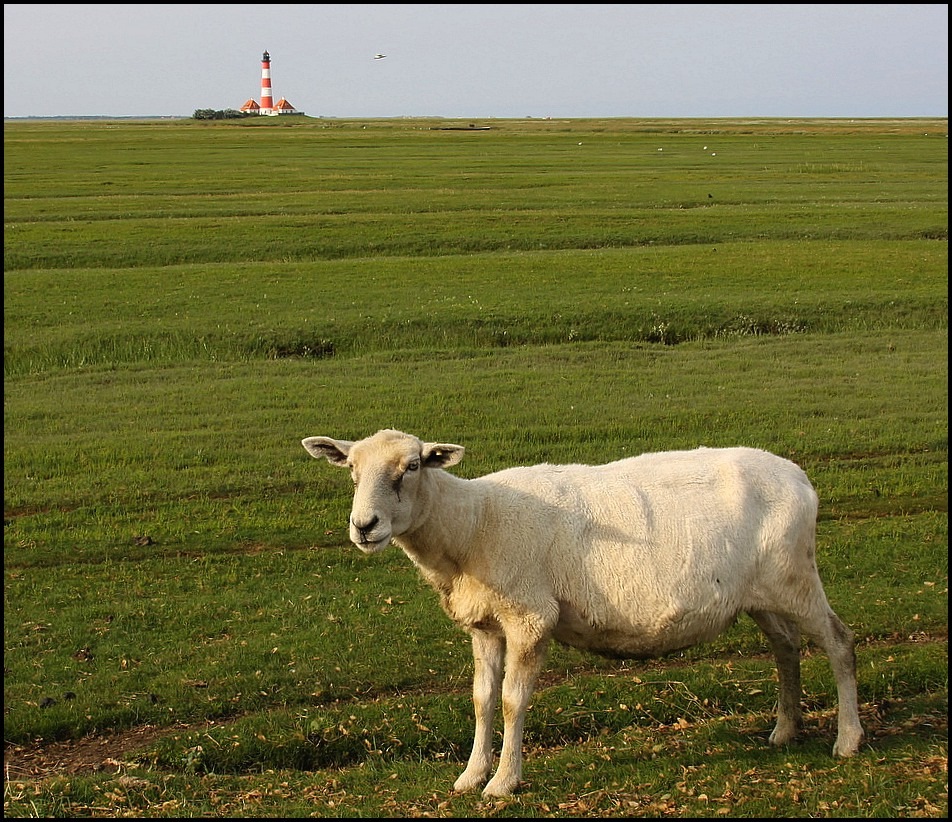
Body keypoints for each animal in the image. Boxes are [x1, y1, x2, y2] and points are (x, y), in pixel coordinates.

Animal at [304, 432, 864, 800]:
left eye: (414, 467)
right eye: (351, 469)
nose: (364, 526)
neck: (472, 525)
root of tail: (799, 476)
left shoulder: (529, 616)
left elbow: (512, 702)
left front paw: (503, 782)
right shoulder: (485, 624)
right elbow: (483, 701)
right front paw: (470, 776)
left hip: (796, 576)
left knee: (839, 641)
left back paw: (848, 740)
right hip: (761, 593)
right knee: (786, 646)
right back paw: (786, 729)